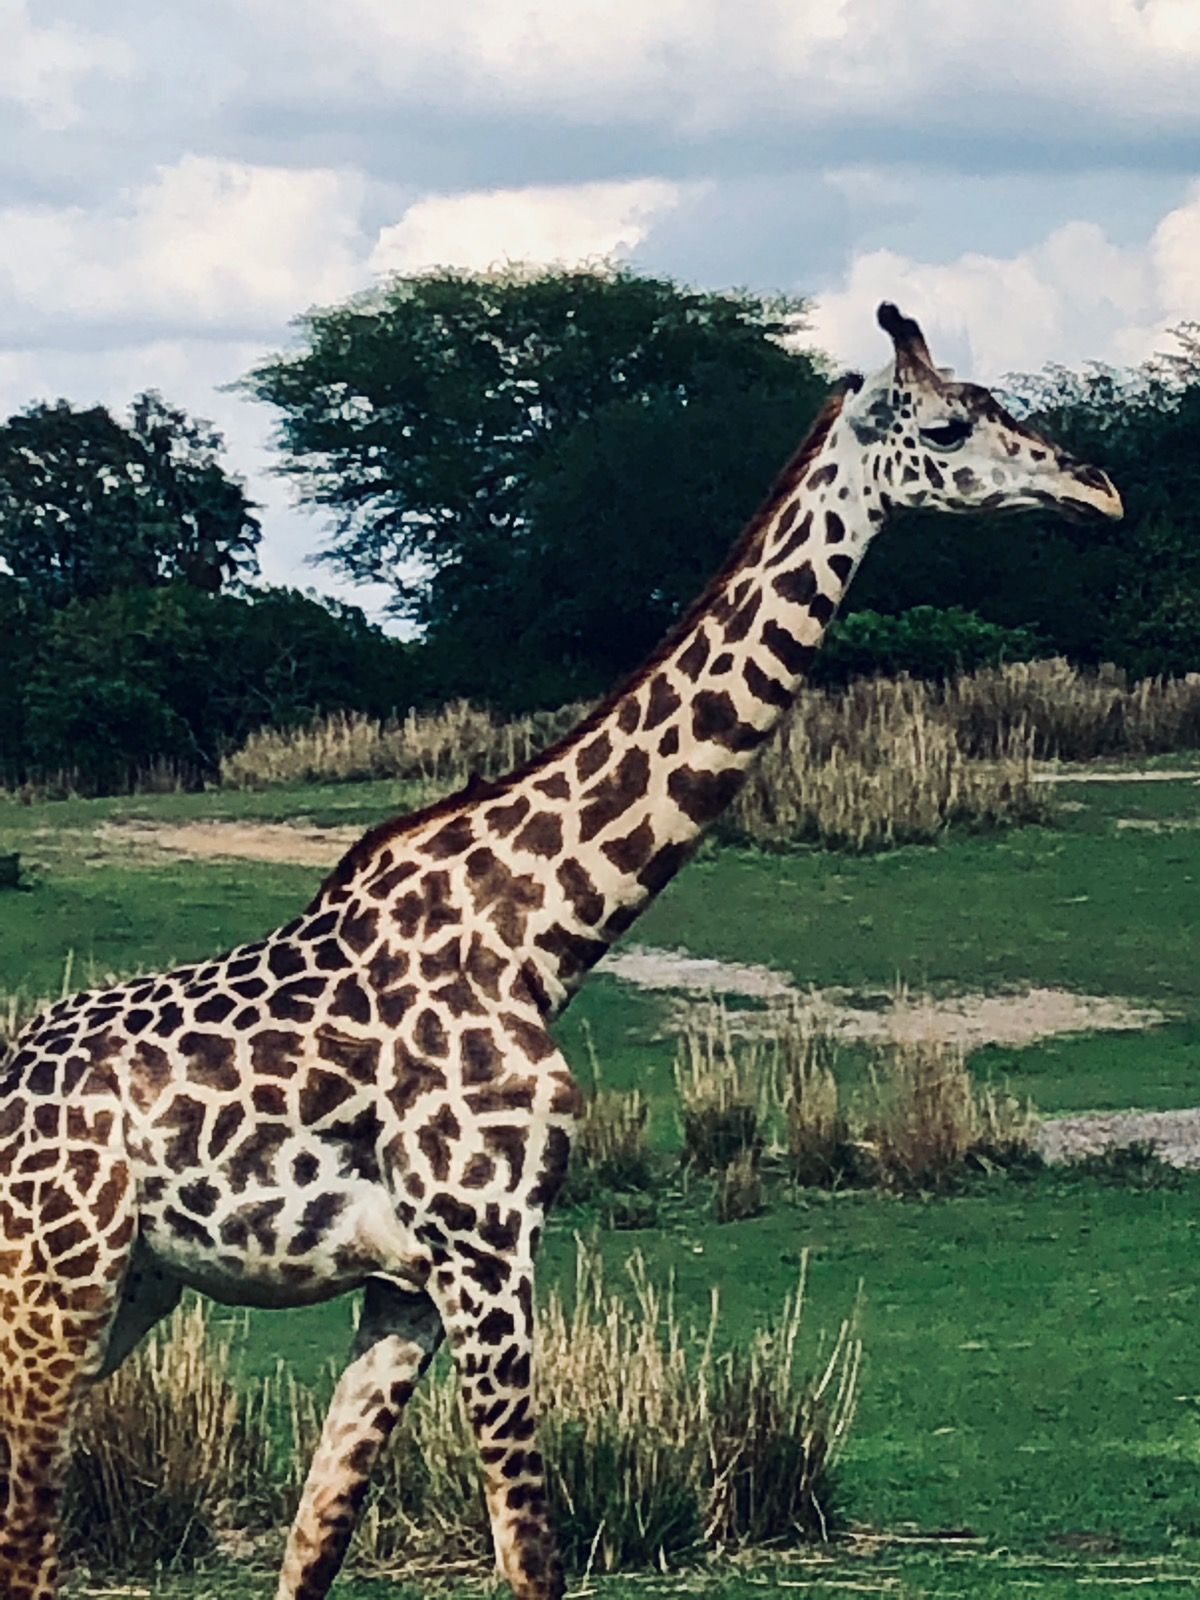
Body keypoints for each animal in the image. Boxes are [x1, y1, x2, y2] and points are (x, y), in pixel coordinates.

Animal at [0, 303, 1121, 1600]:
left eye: (999, 403)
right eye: (947, 425)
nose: (1097, 492)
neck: (541, 928)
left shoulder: (407, 1284)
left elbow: (316, 1541)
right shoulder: (487, 1246)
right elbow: (531, 1549)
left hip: (125, 1288)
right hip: (57, 1280)